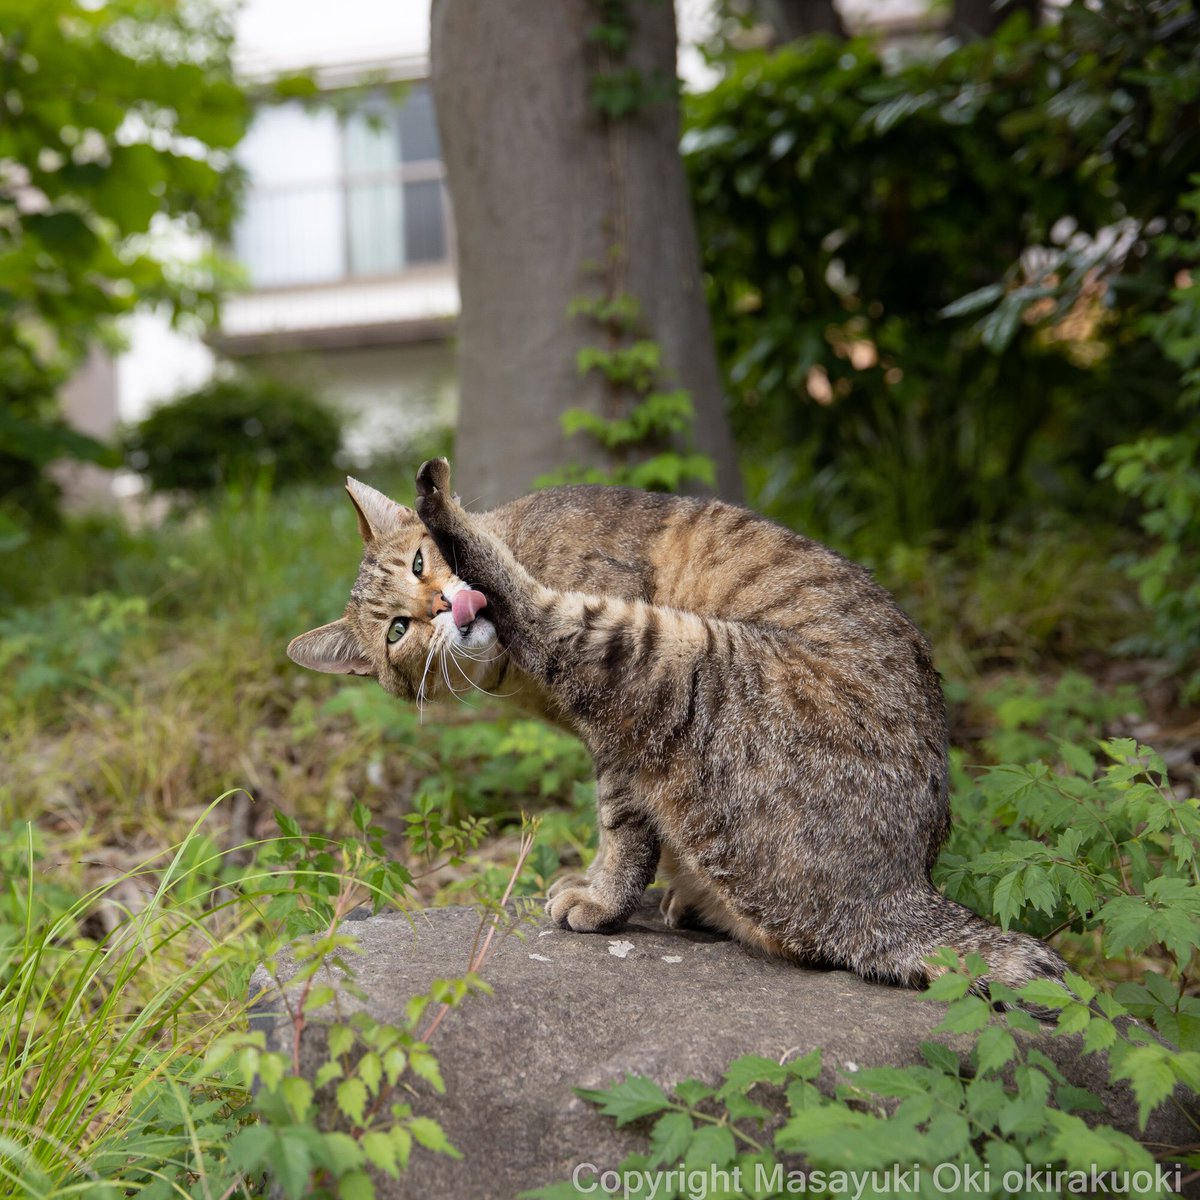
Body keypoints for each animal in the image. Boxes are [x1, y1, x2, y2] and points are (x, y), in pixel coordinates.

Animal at [290, 458, 1070, 1003]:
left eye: (422, 564)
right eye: (396, 631)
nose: (440, 606)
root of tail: (900, 889)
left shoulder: (613, 741)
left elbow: (622, 836)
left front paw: (601, 901)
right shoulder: (614, 743)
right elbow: (625, 831)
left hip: (668, 649)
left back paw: (440, 498)